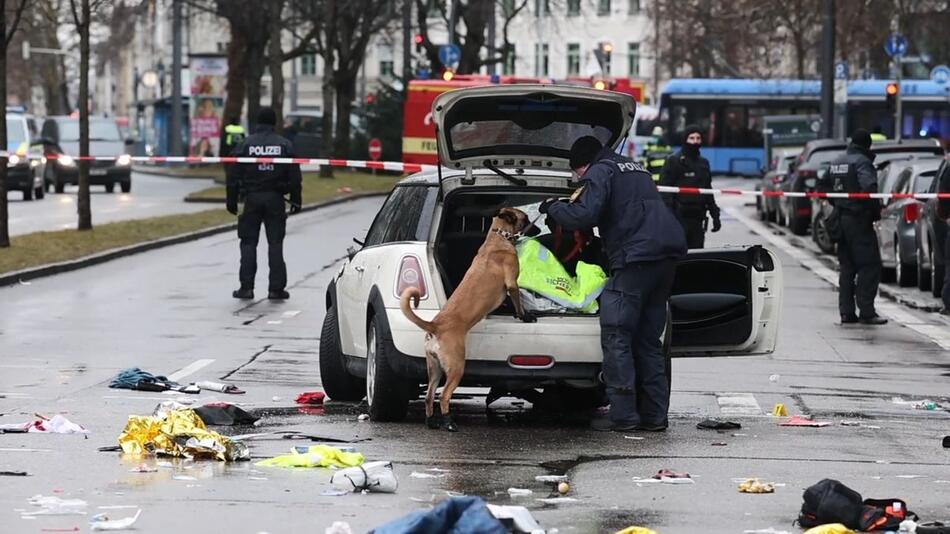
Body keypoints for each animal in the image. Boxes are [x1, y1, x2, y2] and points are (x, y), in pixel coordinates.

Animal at [398, 207, 540, 434]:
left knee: (429, 396)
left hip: (434, 368)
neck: (497, 238)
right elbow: (518, 303)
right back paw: (448, 422)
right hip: (456, 367)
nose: (538, 228)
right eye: (524, 218)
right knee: (444, 396)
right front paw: (525, 316)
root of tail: (435, 326)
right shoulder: (512, 284)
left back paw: (431, 422)